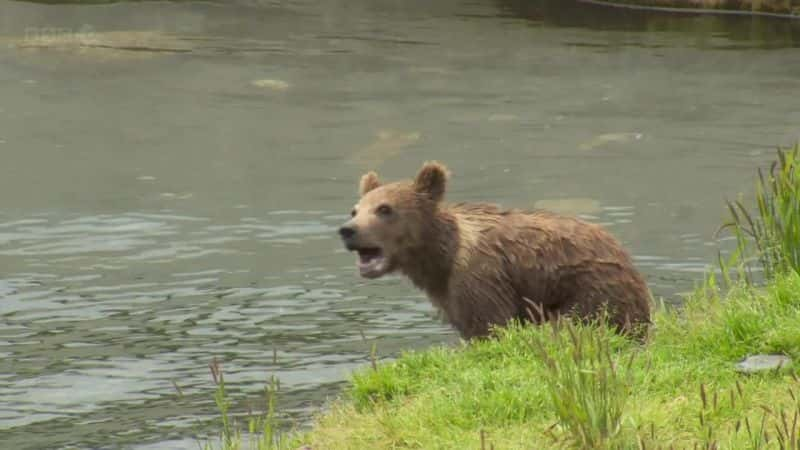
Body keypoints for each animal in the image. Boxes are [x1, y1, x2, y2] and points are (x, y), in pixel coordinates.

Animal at [338, 161, 648, 338]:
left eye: (384, 209)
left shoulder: (480, 278)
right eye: (355, 209)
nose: (348, 230)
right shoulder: (449, 297)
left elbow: (491, 326)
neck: (440, 258)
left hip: (591, 292)